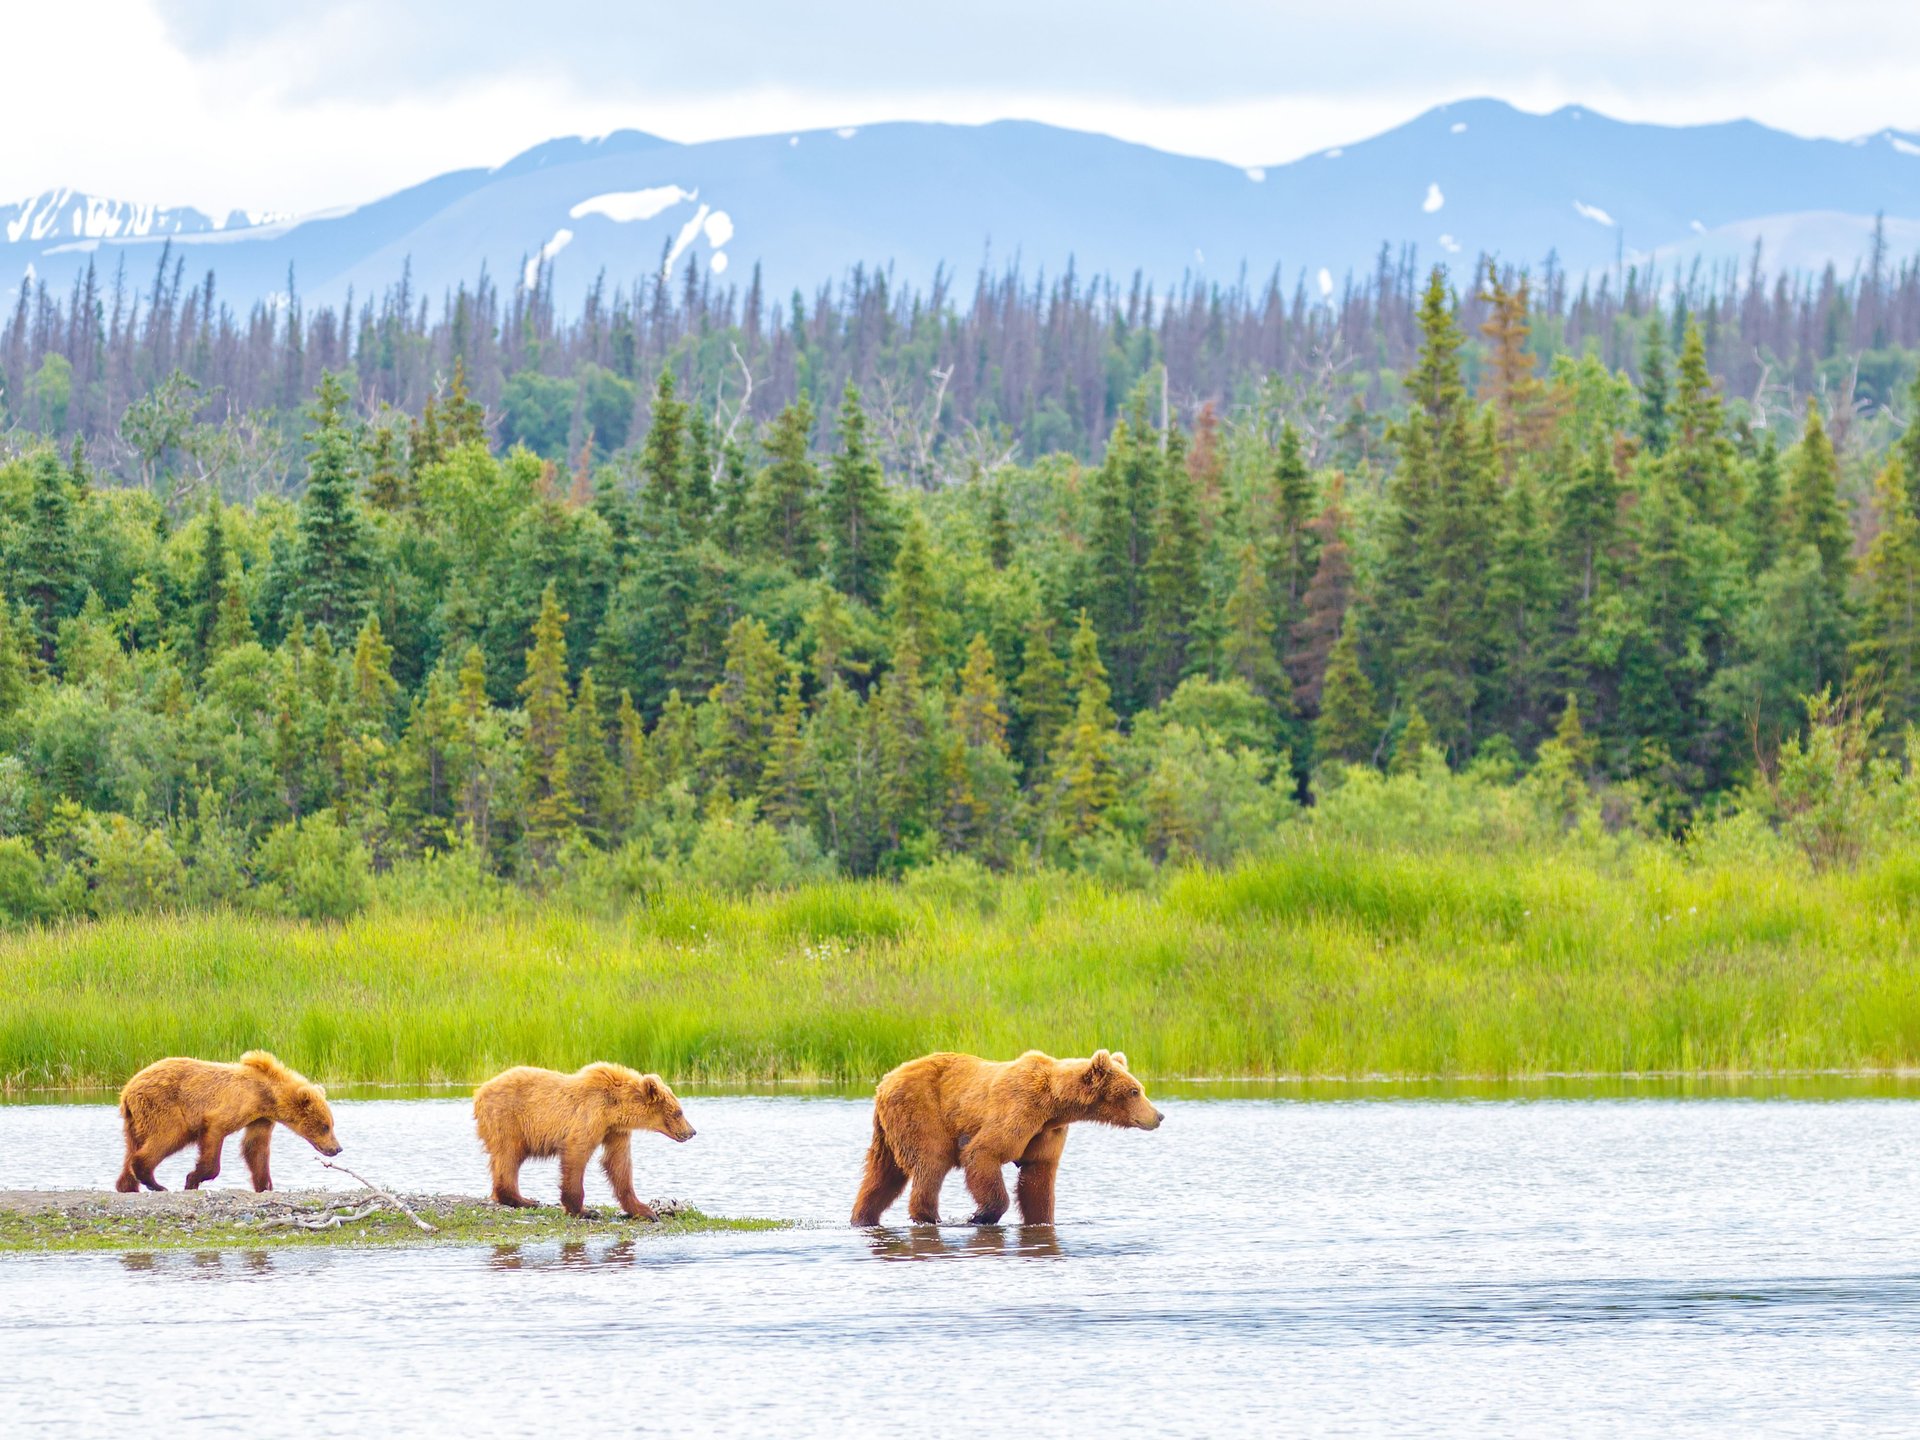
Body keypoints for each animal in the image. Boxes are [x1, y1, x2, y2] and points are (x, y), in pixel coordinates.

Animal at [114, 1052, 343, 1198]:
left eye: (331, 1124)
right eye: (325, 1126)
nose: (337, 1148)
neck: (266, 1096)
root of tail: (127, 1090)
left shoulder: (260, 1118)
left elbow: (256, 1148)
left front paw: (265, 1186)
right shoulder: (234, 1105)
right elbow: (216, 1133)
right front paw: (192, 1179)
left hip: (135, 1120)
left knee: (132, 1146)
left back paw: (127, 1185)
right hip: (164, 1106)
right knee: (168, 1136)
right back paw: (154, 1183)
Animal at [472, 1067, 698, 1221]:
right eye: (678, 1112)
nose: (692, 1131)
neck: (615, 1107)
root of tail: (479, 1092)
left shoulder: (615, 1131)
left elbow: (618, 1164)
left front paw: (645, 1210)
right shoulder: (590, 1115)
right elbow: (577, 1153)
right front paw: (583, 1210)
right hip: (508, 1119)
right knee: (509, 1156)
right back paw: (524, 1200)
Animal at [860, 1052, 1167, 1228]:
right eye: (1134, 1091)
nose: (1159, 1115)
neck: (1053, 1104)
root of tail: (884, 1082)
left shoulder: (1046, 1132)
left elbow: (1038, 1178)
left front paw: (1041, 1219)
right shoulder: (1019, 1109)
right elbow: (983, 1153)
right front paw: (980, 1215)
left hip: (888, 1131)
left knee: (882, 1176)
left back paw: (863, 1218)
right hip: (921, 1112)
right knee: (930, 1163)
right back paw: (929, 1216)